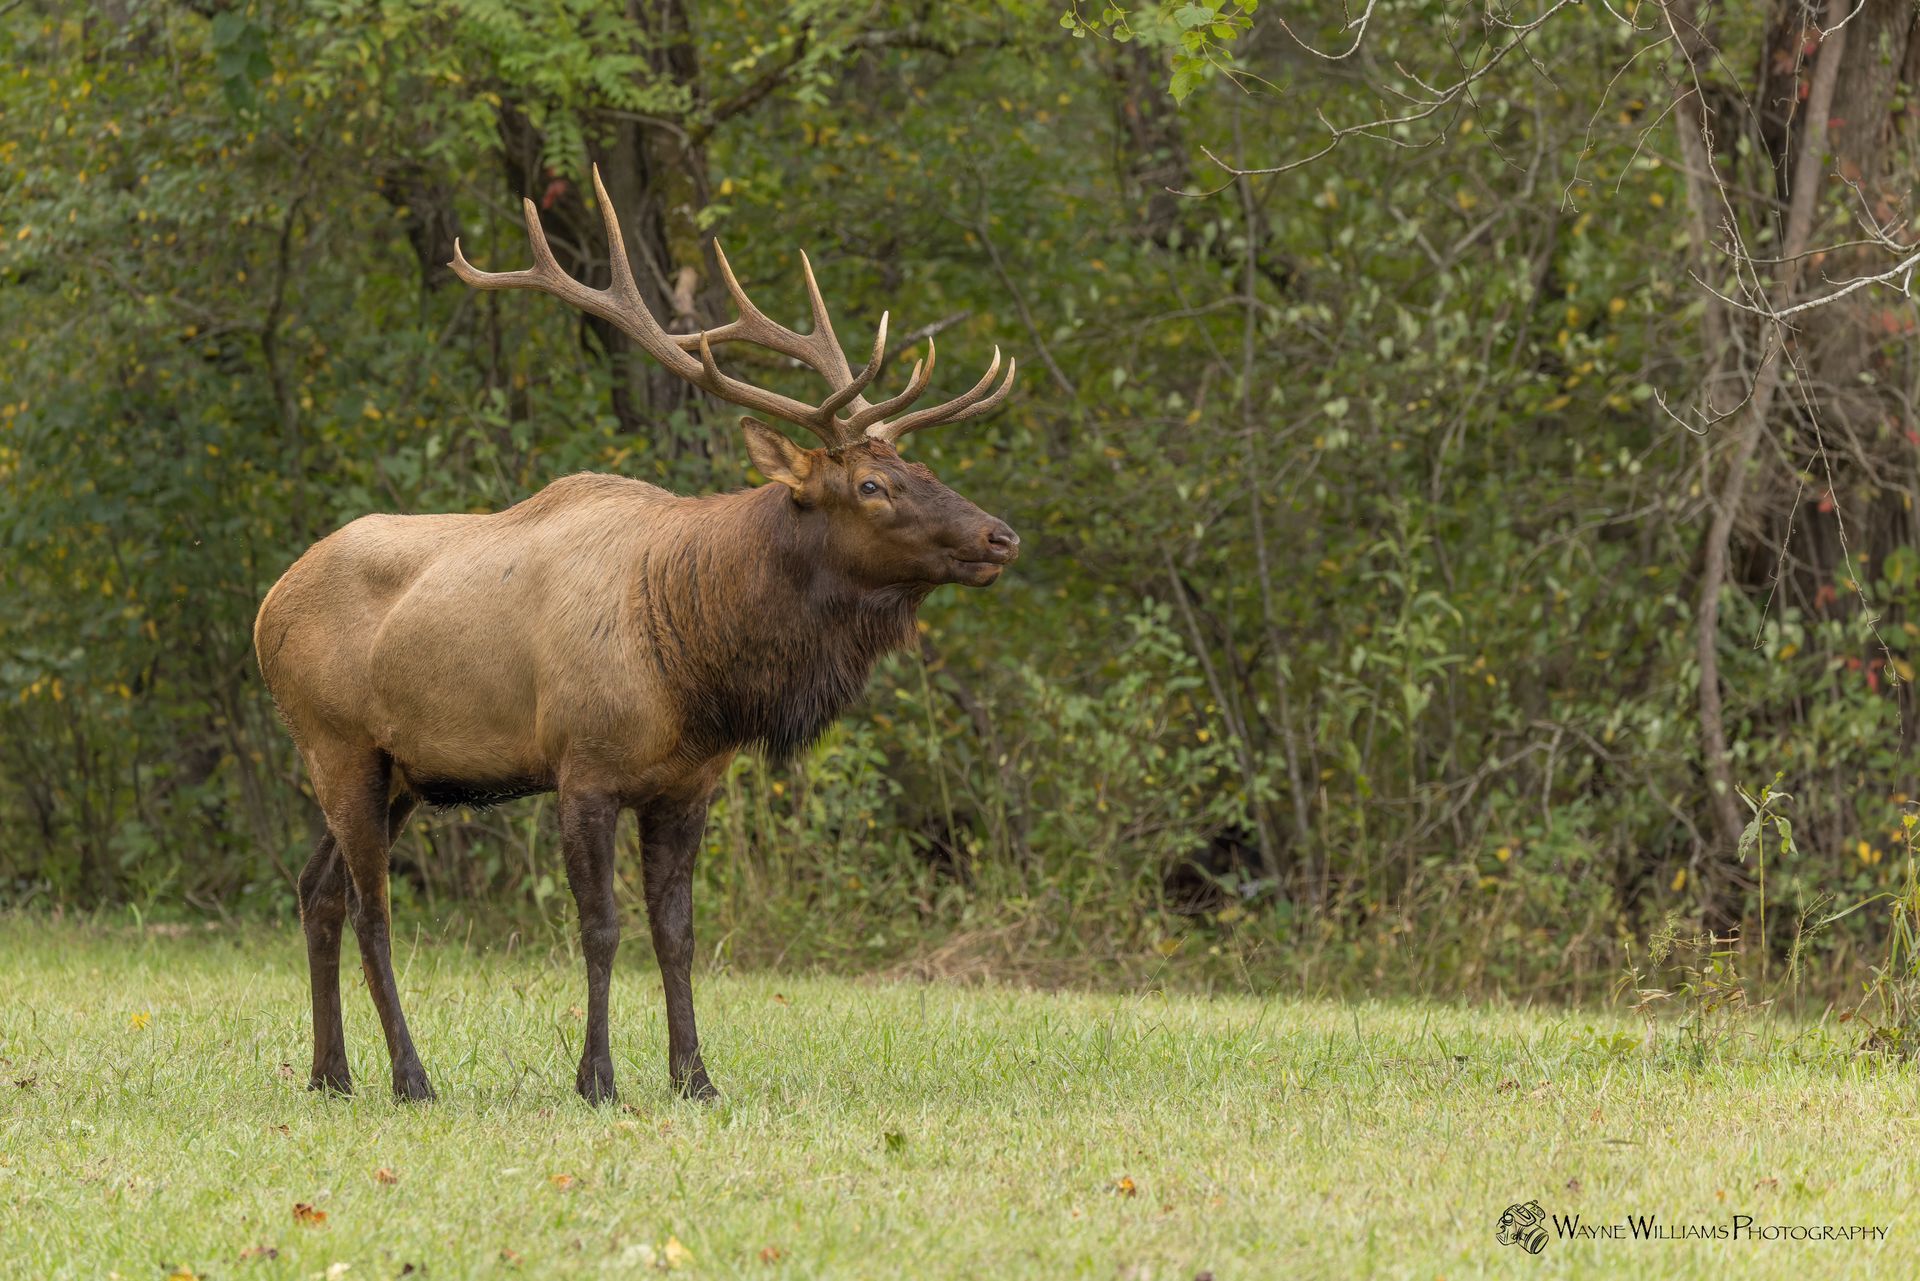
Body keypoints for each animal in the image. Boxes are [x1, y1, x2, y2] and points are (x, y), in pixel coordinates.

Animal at [253, 166, 1019, 1104]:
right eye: (873, 485)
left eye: (924, 468)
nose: (1000, 537)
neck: (696, 664)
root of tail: (266, 606)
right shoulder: (582, 769)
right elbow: (602, 927)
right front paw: (598, 1078)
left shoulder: (688, 786)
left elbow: (677, 933)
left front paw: (695, 1076)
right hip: (337, 745)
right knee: (372, 907)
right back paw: (410, 1076)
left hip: (399, 769)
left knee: (316, 888)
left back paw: (330, 1072)